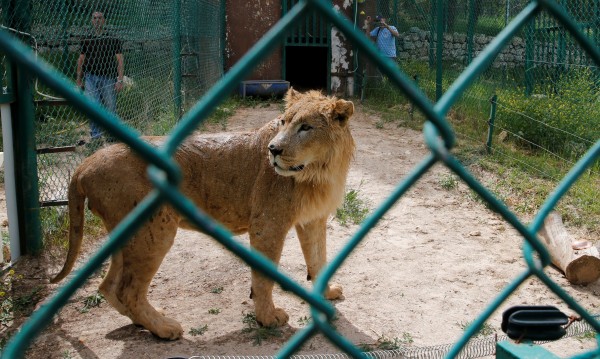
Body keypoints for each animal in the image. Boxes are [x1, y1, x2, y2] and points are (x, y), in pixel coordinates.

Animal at [51, 89, 356, 340]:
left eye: (306, 127)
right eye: (283, 122)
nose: (273, 149)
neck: (318, 172)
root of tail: (85, 163)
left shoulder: (313, 219)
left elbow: (319, 259)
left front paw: (326, 294)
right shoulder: (268, 223)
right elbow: (264, 277)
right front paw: (268, 318)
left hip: (126, 235)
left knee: (109, 286)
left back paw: (144, 322)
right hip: (153, 231)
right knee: (128, 290)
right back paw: (164, 328)